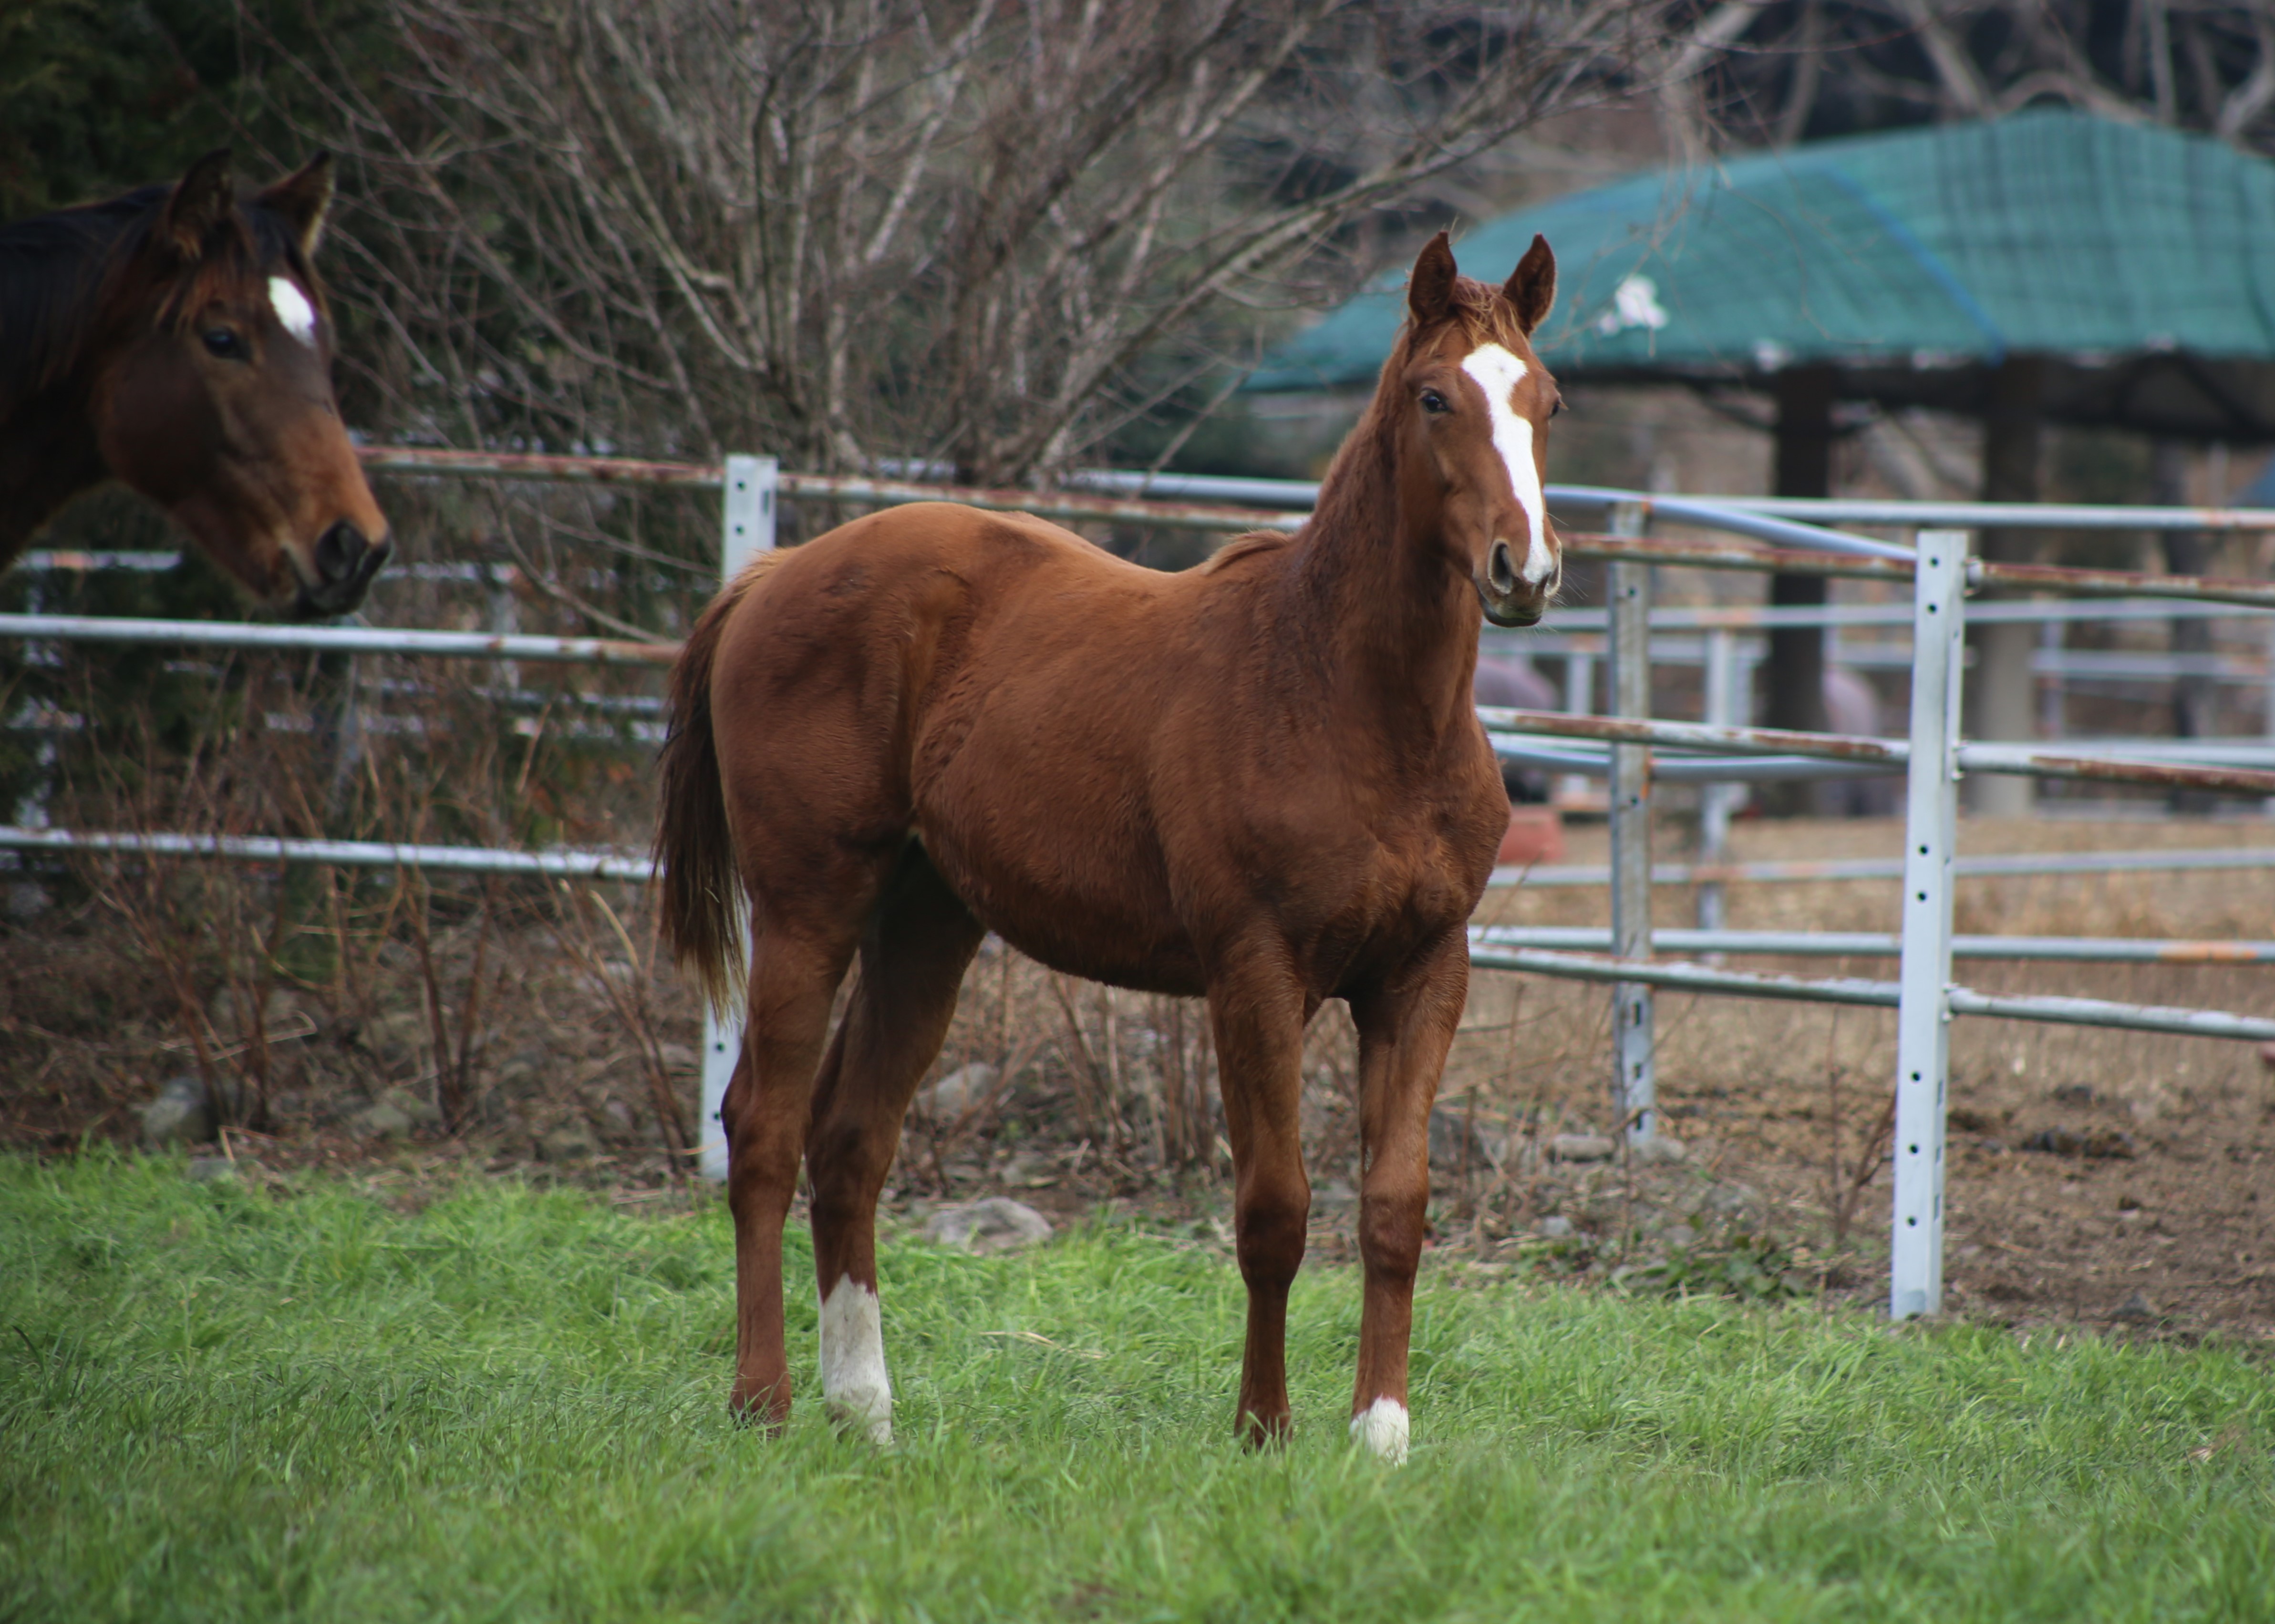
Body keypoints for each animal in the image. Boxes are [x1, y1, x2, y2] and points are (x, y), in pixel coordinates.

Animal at [651, 227, 1556, 1455]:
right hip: (808, 906)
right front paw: (1263, 1427)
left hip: (925, 922)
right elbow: (1274, 1207)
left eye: (1546, 402)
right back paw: (765, 1399)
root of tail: (766, 577)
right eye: (1433, 398)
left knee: (850, 1142)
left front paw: (1379, 1436)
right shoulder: (1254, 973)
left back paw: (866, 1408)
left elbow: (1394, 1205)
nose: (1526, 570)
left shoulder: (1422, 975)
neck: (1345, 696)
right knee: (764, 1128)